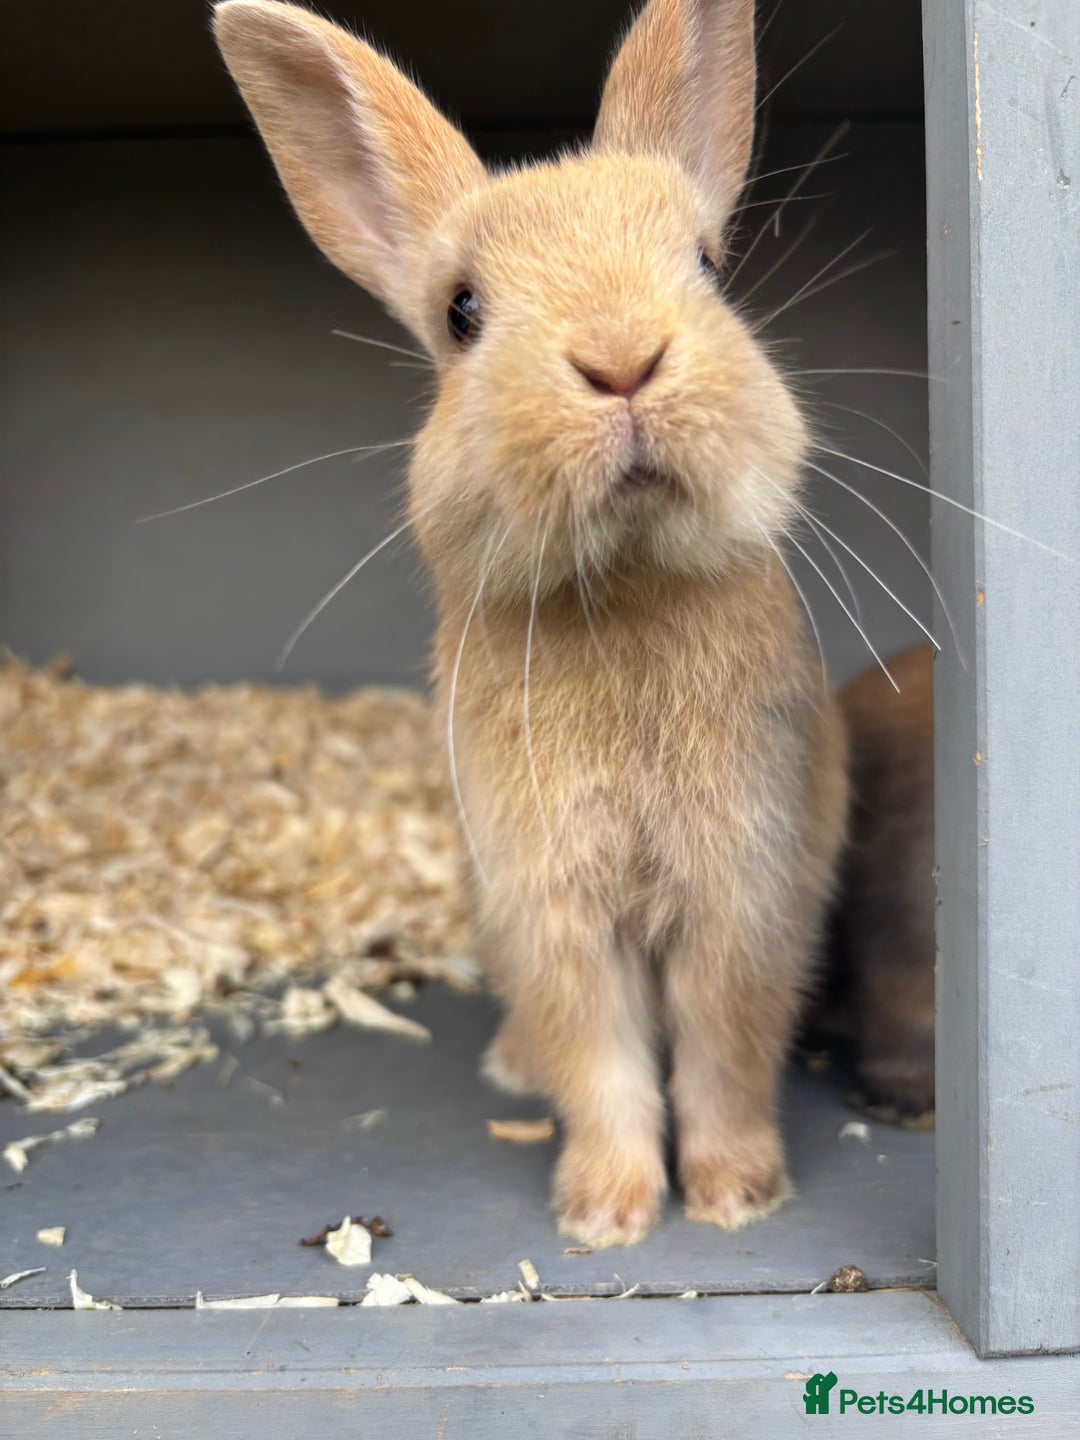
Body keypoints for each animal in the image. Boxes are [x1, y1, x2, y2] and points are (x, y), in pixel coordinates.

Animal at [214, 0, 848, 1247]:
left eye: (709, 266)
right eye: (463, 313)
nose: (621, 360)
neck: (628, 586)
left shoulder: (744, 891)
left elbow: (723, 1052)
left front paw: (735, 1200)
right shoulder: (550, 910)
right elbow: (600, 1062)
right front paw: (605, 1215)